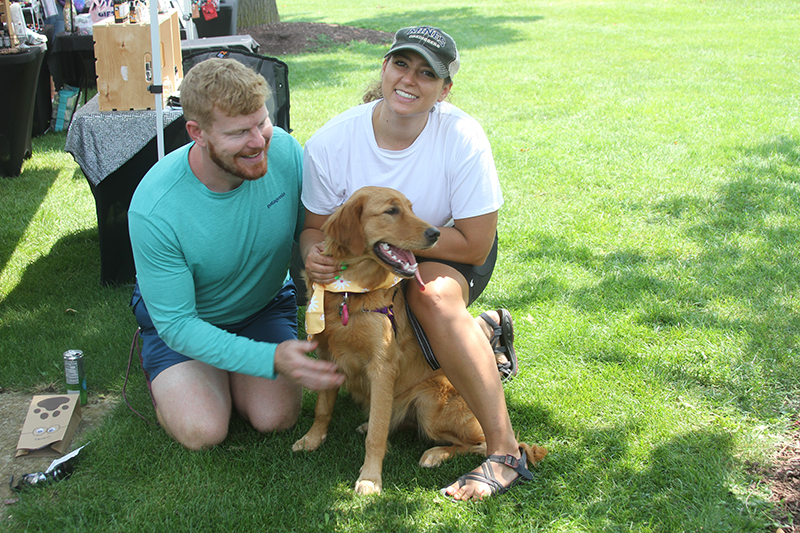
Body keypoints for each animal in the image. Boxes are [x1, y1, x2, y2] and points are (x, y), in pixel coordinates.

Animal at [290, 187, 548, 494]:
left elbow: (376, 435)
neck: (350, 292)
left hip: (429, 405)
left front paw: (370, 477)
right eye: (392, 211)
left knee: (479, 443)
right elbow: (323, 409)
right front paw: (312, 438)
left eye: (411, 208)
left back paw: (437, 454)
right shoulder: (328, 355)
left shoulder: (381, 367)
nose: (435, 233)